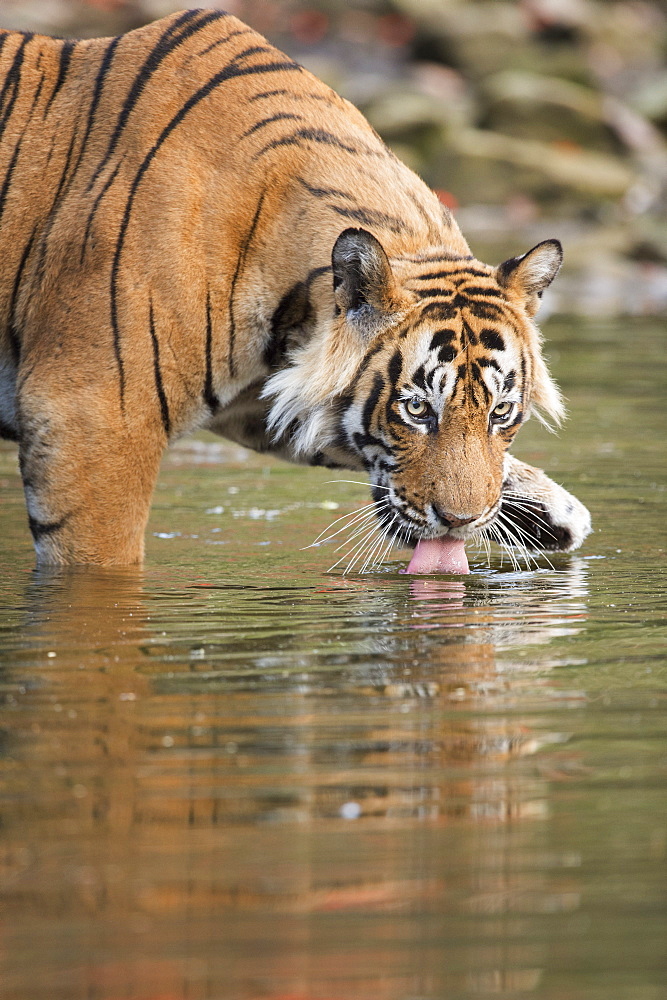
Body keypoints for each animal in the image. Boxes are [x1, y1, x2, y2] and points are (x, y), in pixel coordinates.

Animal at [0, 7, 588, 572]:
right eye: (418, 410)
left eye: (501, 412)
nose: (461, 522)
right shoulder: (90, 419)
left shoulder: (263, 399)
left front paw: (555, 512)